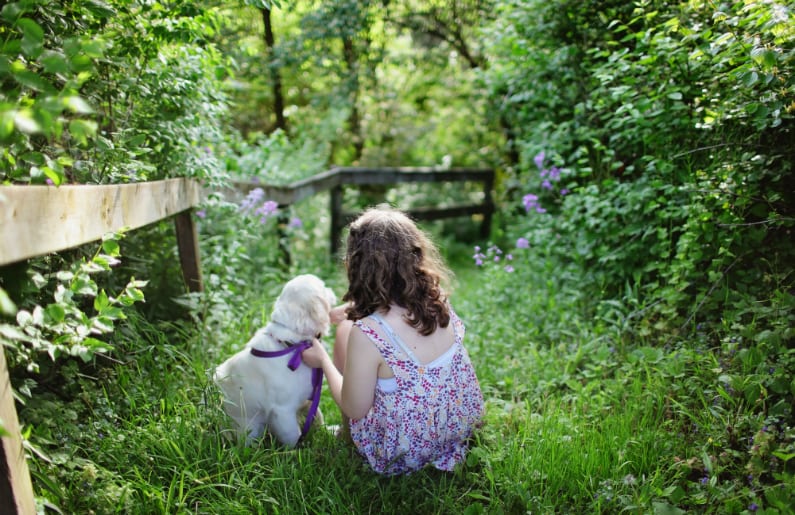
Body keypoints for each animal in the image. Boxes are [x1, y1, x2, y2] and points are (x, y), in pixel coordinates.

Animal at [213, 274, 334, 448]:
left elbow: (318, 416)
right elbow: (293, 436)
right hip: (250, 428)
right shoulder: (282, 411)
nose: (331, 289)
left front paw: (328, 431)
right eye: (323, 287)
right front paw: (298, 451)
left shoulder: (309, 398)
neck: (292, 345)